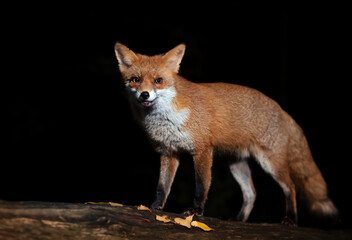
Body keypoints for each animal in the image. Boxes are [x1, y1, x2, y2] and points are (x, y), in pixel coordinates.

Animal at [115, 42, 338, 225]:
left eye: (158, 80)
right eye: (136, 79)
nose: (144, 95)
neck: (165, 119)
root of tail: (282, 110)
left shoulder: (203, 150)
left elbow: (201, 185)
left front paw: (196, 211)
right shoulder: (169, 151)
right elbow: (162, 186)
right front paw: (156, 207)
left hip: (271, 163)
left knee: (290, 187)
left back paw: (290, 219)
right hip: (236, 164)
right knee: (251, 193)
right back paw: (240, 220)